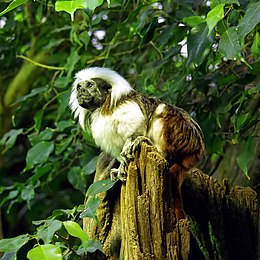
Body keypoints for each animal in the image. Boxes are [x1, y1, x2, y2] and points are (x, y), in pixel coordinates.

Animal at [69, 67, 205, 219]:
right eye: (79, 87)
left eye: (89, 85)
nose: (81, 91)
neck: (100, 106)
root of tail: (198, 148)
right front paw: (120, 167)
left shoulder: (119, 106)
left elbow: (135, 123)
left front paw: (131, 142)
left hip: (182, 135)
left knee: (162, 111)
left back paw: (155, 147)